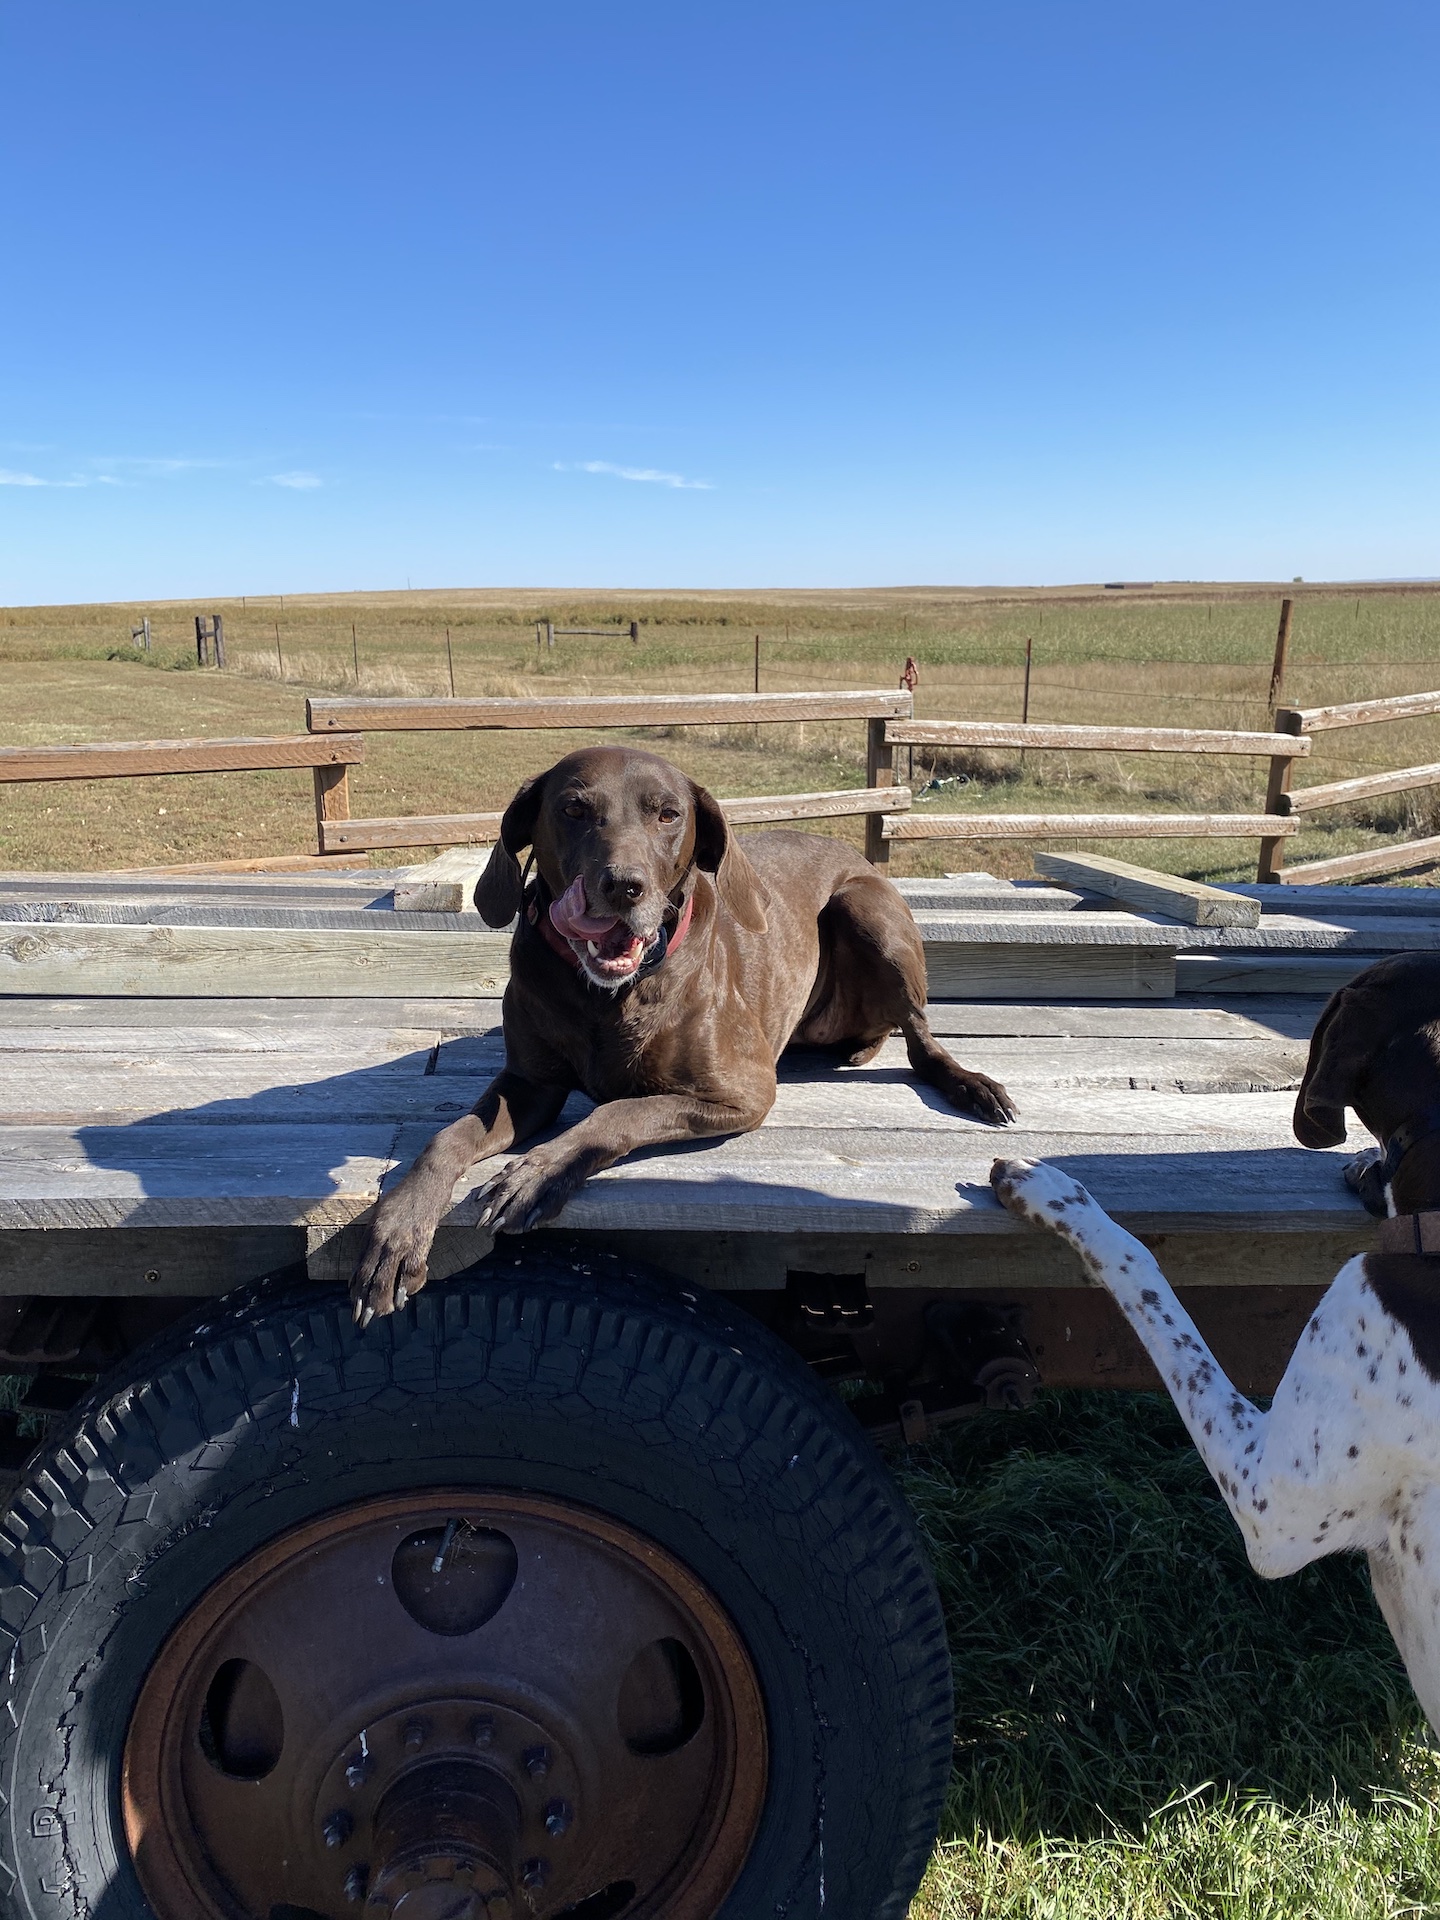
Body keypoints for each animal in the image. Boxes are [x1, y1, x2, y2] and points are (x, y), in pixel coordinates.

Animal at [352, 745, 1016, 1321]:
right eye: (573, 809)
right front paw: (399, 1231)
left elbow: (617, 1114)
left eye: (668, 814)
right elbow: (448, 1137)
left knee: (921, 1039)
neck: (608, 996)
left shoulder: (742, 1093)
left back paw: (971, 1086)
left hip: (868, 911)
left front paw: (537, 1172)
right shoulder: (528, 1085)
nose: (622, 887)